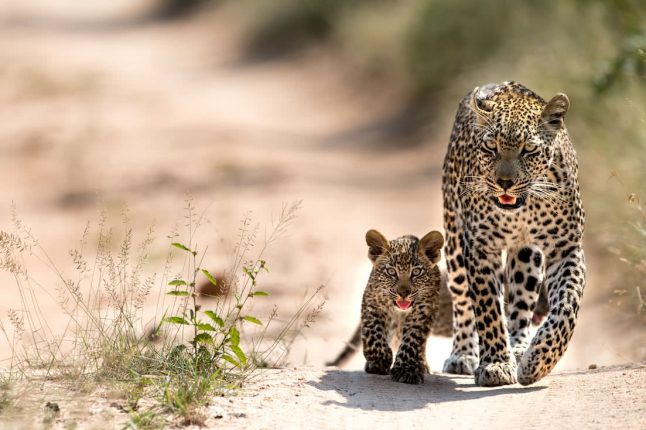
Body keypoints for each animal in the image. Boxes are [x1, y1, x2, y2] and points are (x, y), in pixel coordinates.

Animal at [446, 81, 588, 386]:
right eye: (491, 146)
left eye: (529, 149)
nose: (505, 183)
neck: (524, 208)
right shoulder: (480, 248)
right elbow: (488, 309)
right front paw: (496, 364)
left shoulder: (566, 248)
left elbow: (567, 306)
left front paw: (539, 361)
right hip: (453, 242)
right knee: (462, 300)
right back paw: (463, 354)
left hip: (527, 255)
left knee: (521, 305)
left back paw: (520, 349)